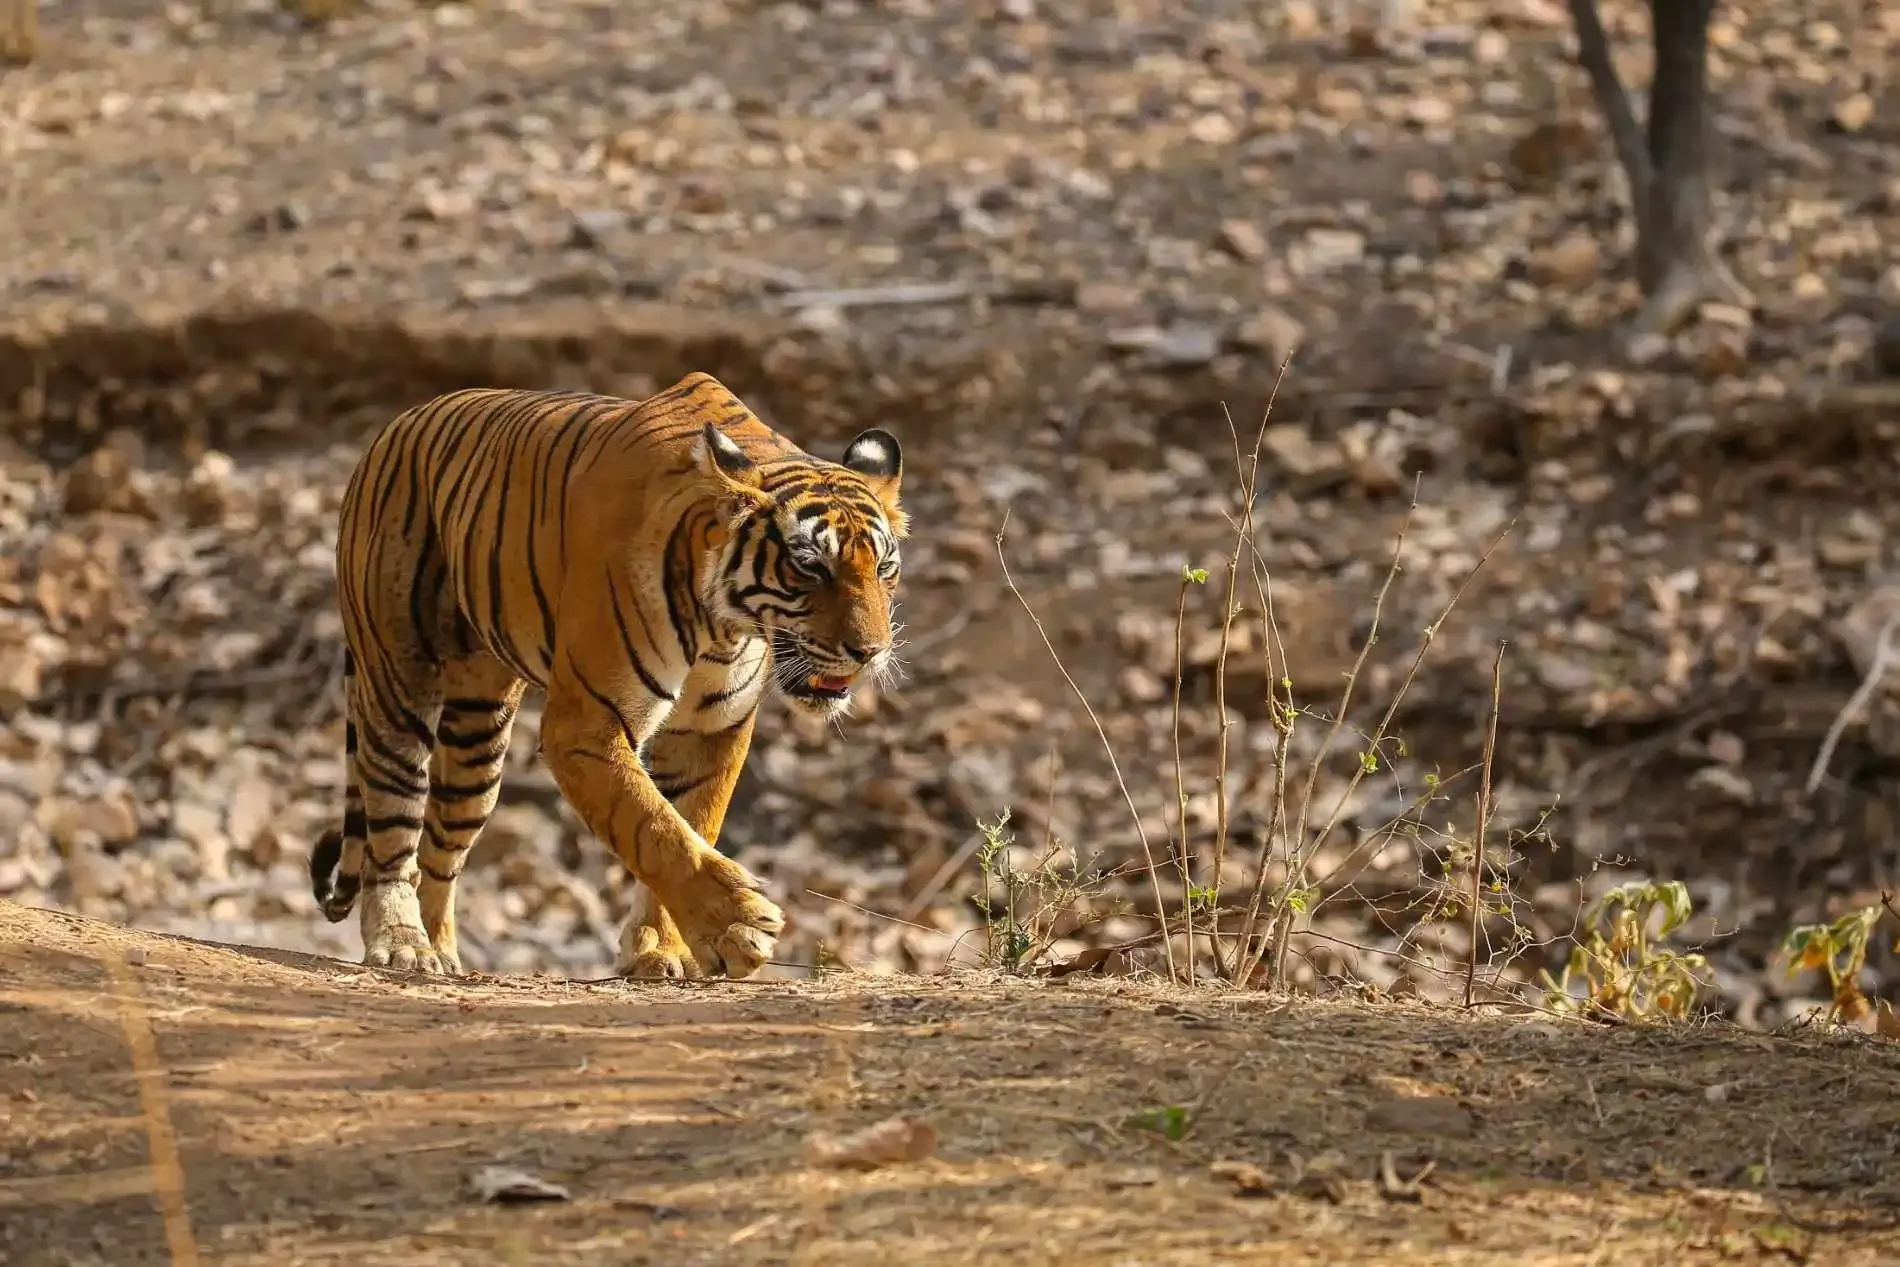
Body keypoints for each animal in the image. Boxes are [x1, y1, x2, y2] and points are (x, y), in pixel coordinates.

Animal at [306, 371, 907, 981]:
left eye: (885, 568)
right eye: (810, 566)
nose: (870, 652)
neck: (724, 627)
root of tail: (397, 425)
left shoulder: (712, 729)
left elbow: (691, 822)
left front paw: (661, 948)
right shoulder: (586, 724)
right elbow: (653, 826)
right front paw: (736, 927)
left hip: (478, 734)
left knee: (440, 847)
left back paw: (442, 951)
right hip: (397, 687)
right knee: (391, 829)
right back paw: (403, 944)